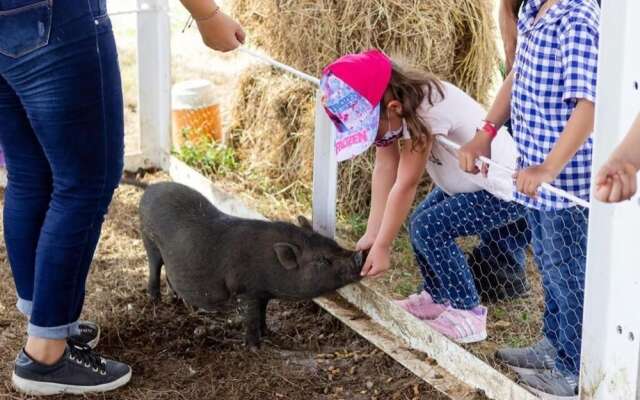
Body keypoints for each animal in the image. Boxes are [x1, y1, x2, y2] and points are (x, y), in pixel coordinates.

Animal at [138, 183, 362, 346]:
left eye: (334, 243)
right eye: (322, 260)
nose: (359, 255)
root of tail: (150, 188)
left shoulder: (263, 292)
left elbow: (263, 313)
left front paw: (269, 333)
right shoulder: (247, 290)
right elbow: (252, 317)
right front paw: (255, 347)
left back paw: (178, 300)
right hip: (148, 238)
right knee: (154, 267)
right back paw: (155, 300)